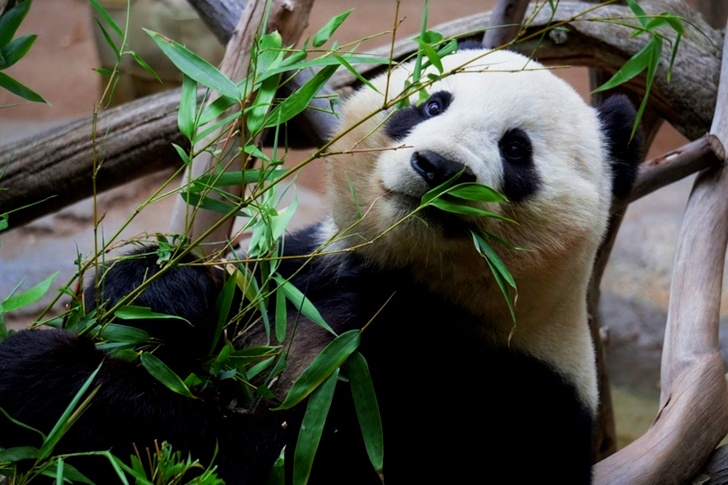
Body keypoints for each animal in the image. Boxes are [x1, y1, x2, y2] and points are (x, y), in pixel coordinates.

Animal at [0, 46, 640, 485]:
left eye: (516, 149)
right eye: (432, 101)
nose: (438, 167)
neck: (409, 278)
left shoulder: (498, 394)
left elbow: (281, 458)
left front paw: (45, 378)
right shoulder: (307, 271)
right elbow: (211, 298)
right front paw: (164, 295)